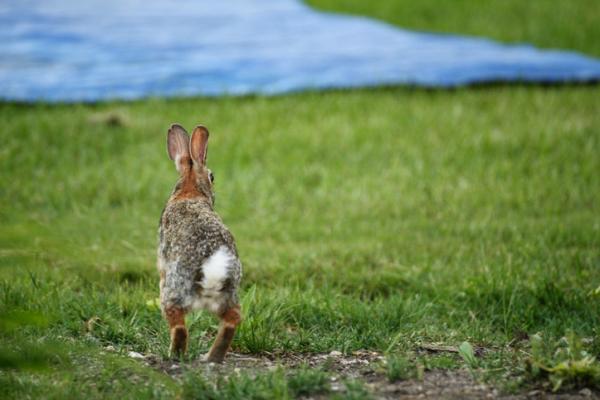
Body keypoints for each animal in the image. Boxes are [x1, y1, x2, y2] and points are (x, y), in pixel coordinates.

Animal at [159, 122, 244, 362]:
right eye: (212, 176)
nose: (214, 181)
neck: (190, 192)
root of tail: (213, 268)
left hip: (173, 291)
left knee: (179, 327)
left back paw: (174, 356)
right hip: (229, 295)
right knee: (232, 320)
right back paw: (211, 358)